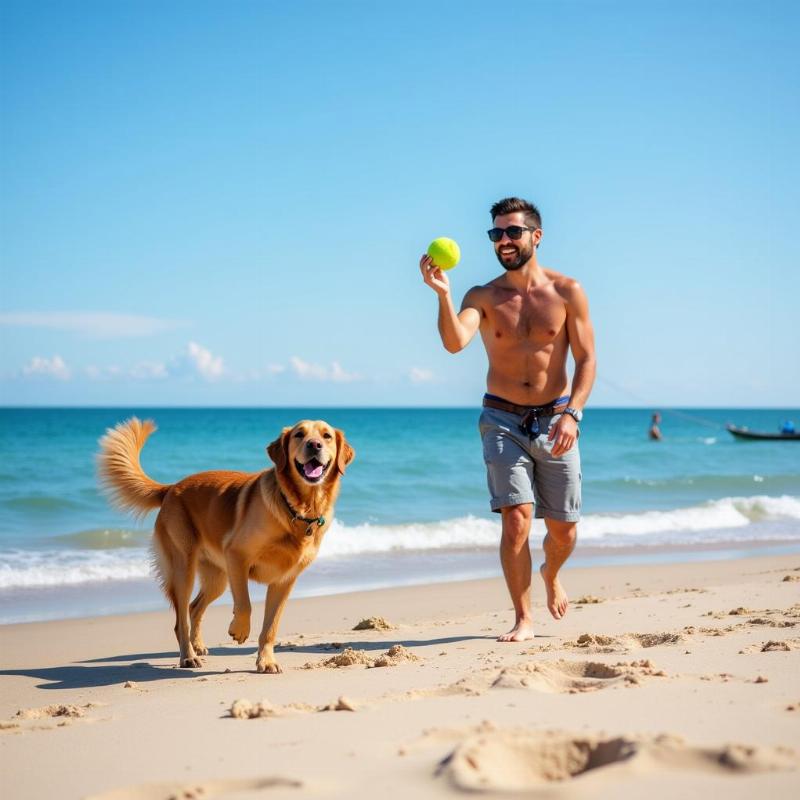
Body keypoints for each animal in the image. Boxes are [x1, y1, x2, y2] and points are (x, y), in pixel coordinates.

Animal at [96, 418, 354, 676]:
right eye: (300, 434)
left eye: (327, 436)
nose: (314, 445)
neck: (298, 509)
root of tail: (170, 488)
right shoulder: (237, 556)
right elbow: (245, 604)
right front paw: (239, 630)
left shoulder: (284, 580)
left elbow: (270, 627)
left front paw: (266, 661)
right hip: (184, 569)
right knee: (181, 620)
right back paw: (188, 656)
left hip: (216, 579)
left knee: (194, 607)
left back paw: (197, 645)